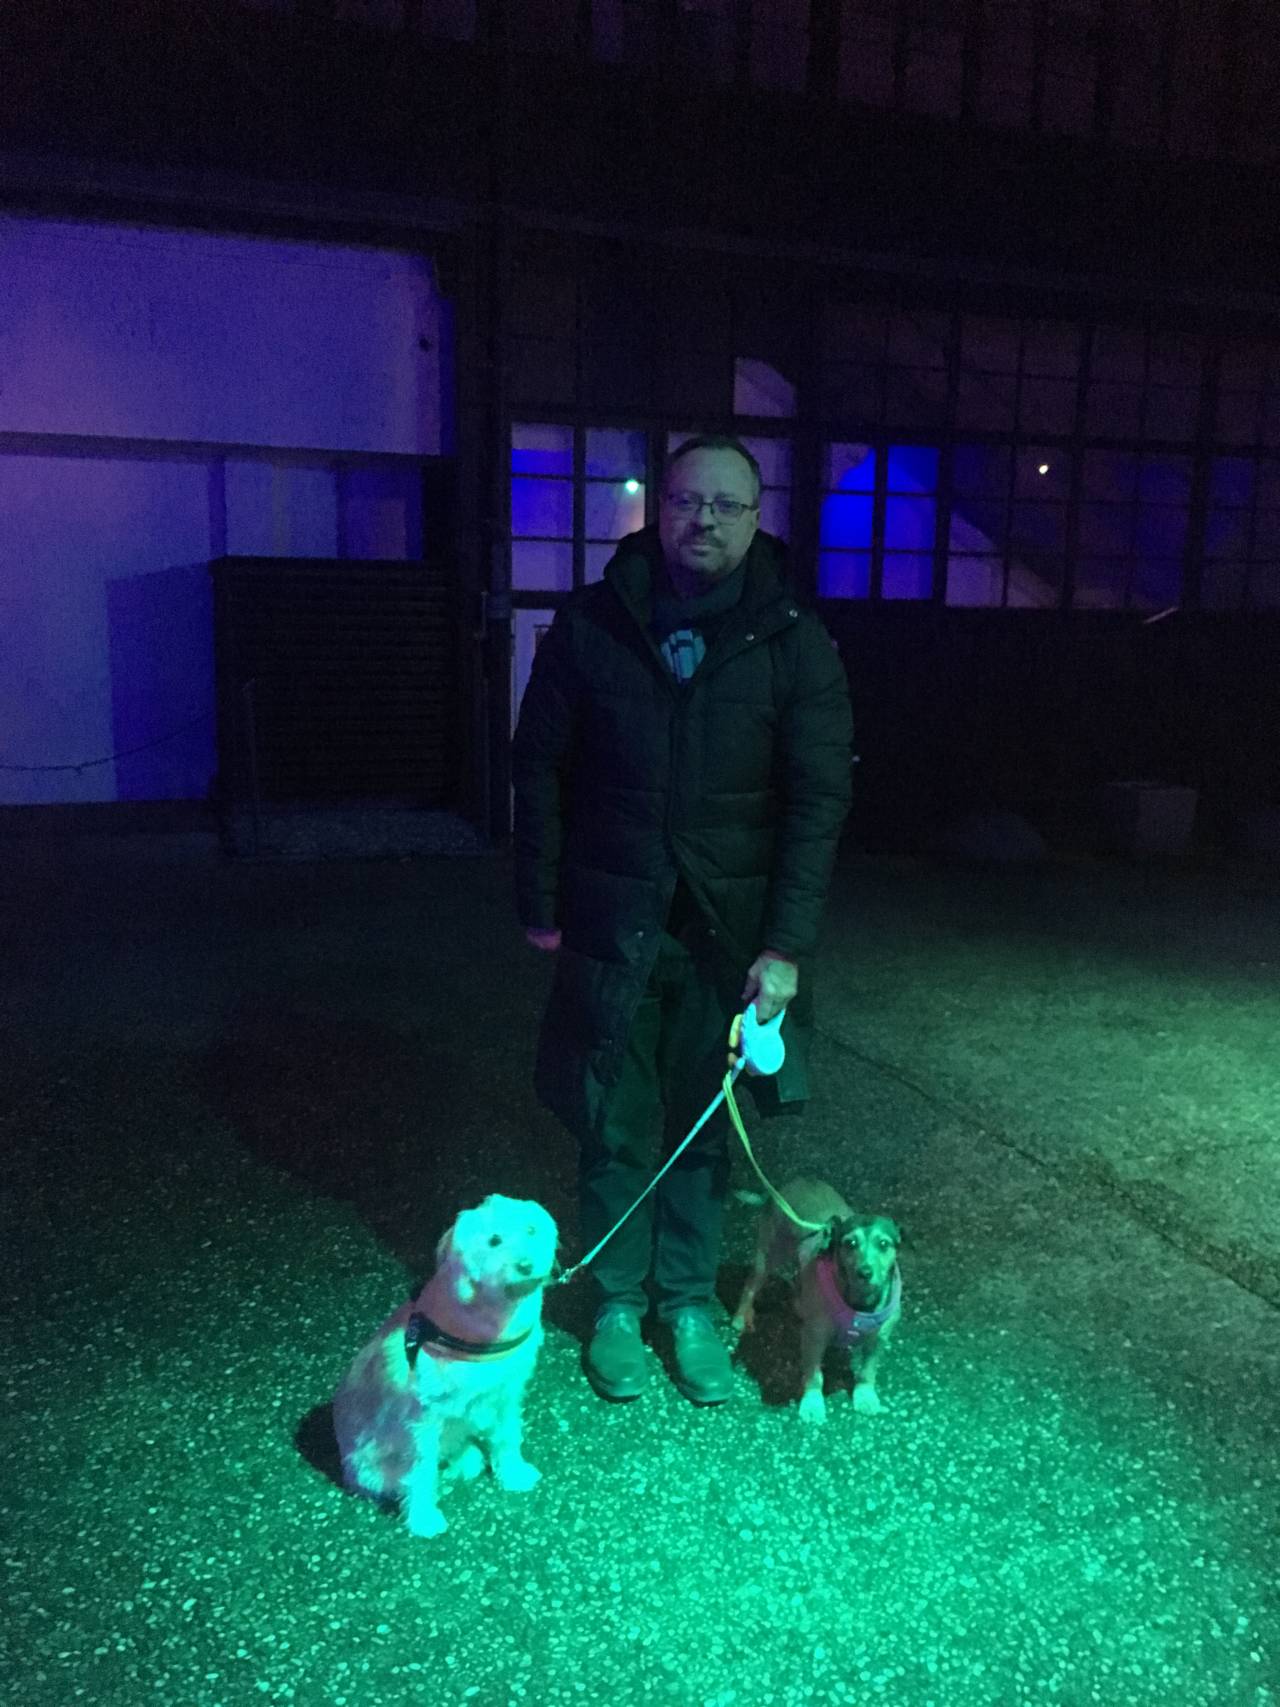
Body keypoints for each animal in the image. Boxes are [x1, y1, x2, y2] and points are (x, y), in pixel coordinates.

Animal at [332, 1193, 559, 1537]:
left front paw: (513, 1473)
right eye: (494, 1240)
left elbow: (507, 1436)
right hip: (372, 1468)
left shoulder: (507, 1393)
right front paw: (424, 1518)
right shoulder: (423, 1417)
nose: (526, 1265)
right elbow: (422, 1470)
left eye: (531, 1230)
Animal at [732, 1178, 902, 1424]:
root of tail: (786, 1187)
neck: (859, 1303)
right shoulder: (814, 1337)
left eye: (883, 1244)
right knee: (752, 1284)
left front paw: (866, 1396)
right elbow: (814, 1376)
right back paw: (741, 1316)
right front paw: (813, 1404)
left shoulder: (878, 1339)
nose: (865, 1272)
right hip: (769, 1255)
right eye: (850, 1243)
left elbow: (867, 1371)